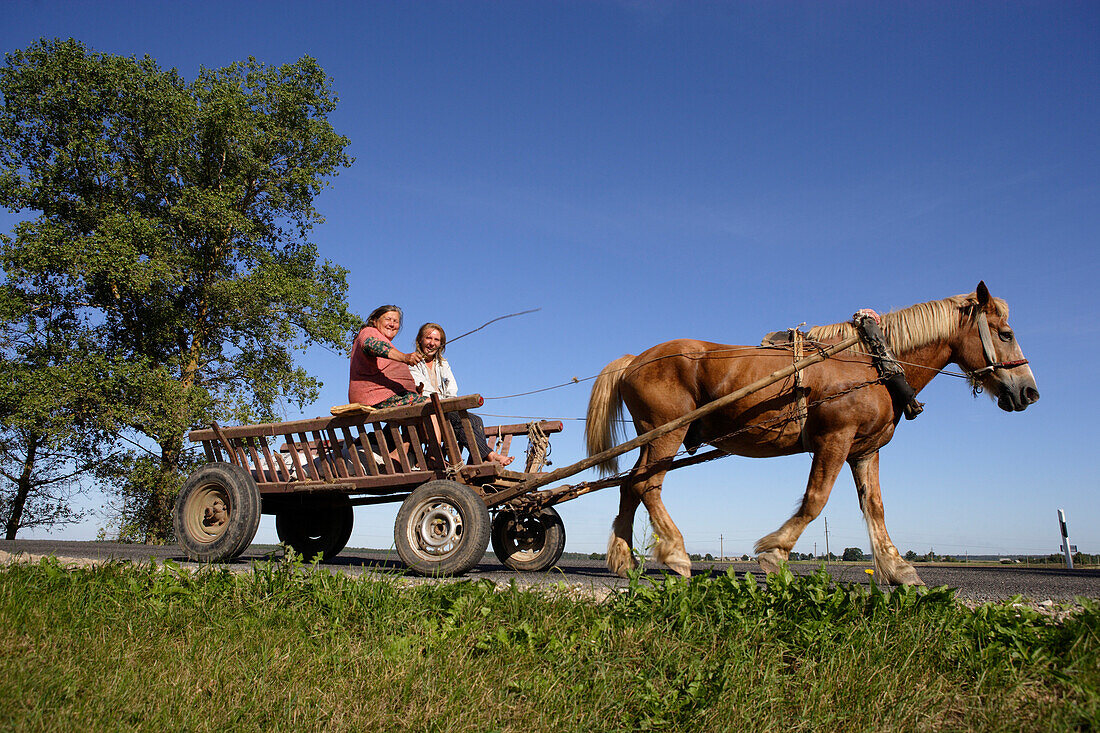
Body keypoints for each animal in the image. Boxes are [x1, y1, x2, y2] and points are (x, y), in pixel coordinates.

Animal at [585, 279, 1038, 581]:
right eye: (1006, 333)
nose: (1029, 392)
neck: (871, 361)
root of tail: (633, 360)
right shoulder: (833, 439)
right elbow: (815, 500)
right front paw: (774, 552)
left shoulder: (864, 449)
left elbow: (875, 507)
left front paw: (897, 568)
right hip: (665, 433)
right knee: (647, 486)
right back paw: (677, 555)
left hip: (653, 437)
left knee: (630, 484)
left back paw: (624, 560)